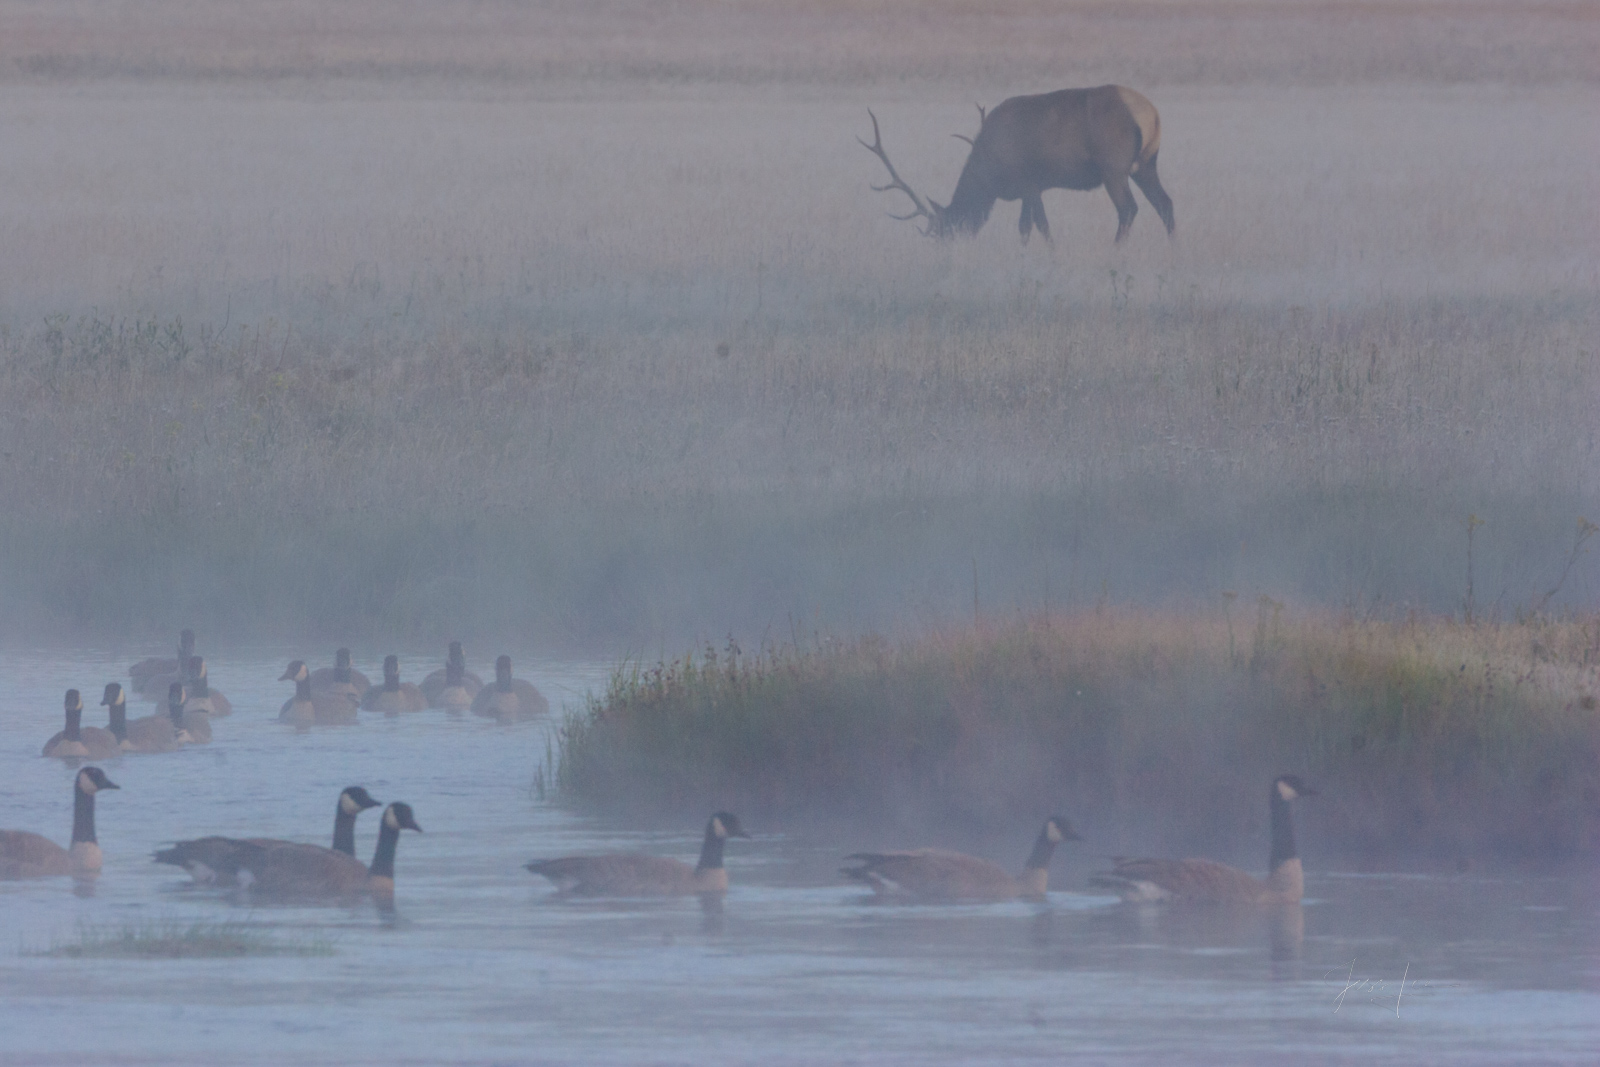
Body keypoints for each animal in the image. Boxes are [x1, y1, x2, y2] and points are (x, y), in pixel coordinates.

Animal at [864, 85, 1177, 246]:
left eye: (947, 231)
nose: (947, 254)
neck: (990, 175)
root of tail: (1152, 114)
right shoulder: (1030, 189)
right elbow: (1024, 228)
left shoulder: (1029, 182)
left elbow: (1042, 226)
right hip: (1146, 164)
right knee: (1165, 203)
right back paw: (1174, 250)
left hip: (1113, 167)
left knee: (1128, 209)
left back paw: (1116, 250)